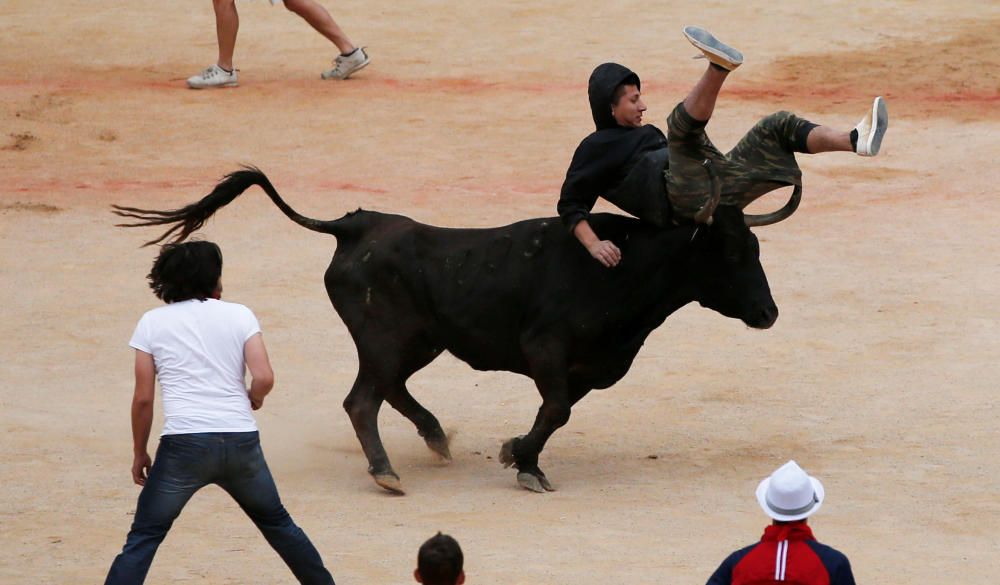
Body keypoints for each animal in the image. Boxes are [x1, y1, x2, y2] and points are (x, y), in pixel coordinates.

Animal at [115, 168, 780, 492]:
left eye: (755, 246)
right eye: (730, 251)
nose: (769, 314)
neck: (620, 270)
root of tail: (354, 226)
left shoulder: (592, 366)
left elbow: (557, 412)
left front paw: (518, 451)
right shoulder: (546, 349)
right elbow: (556, 408)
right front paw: (526, 463)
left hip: (419, 341)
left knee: (387, 390)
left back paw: (435, 439)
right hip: (388, 338)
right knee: (363, 400)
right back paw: (386, 472)